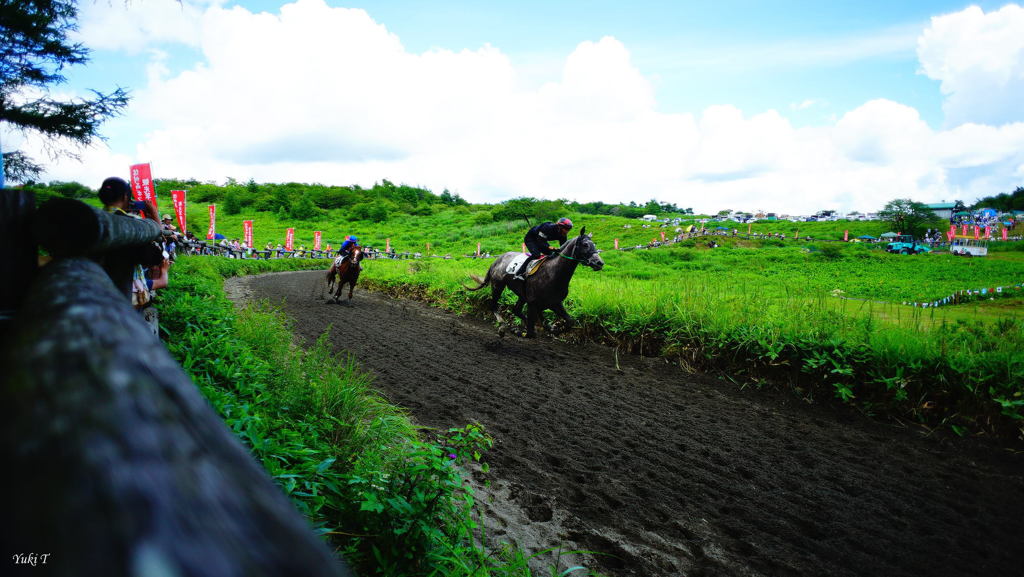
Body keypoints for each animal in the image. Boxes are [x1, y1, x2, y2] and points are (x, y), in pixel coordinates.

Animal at [468, 226, 602, 336]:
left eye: (594, 244)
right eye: (585, 244)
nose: (599, 263)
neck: (554, 274)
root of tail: (497, 260)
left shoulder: (554, 303)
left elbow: (569, 321)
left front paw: (555, 329)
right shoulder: (533, 303)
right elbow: (532, 332)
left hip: (521, 294)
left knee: (516, 310)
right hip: (497, 286)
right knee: (494, 306)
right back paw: (502, 326)